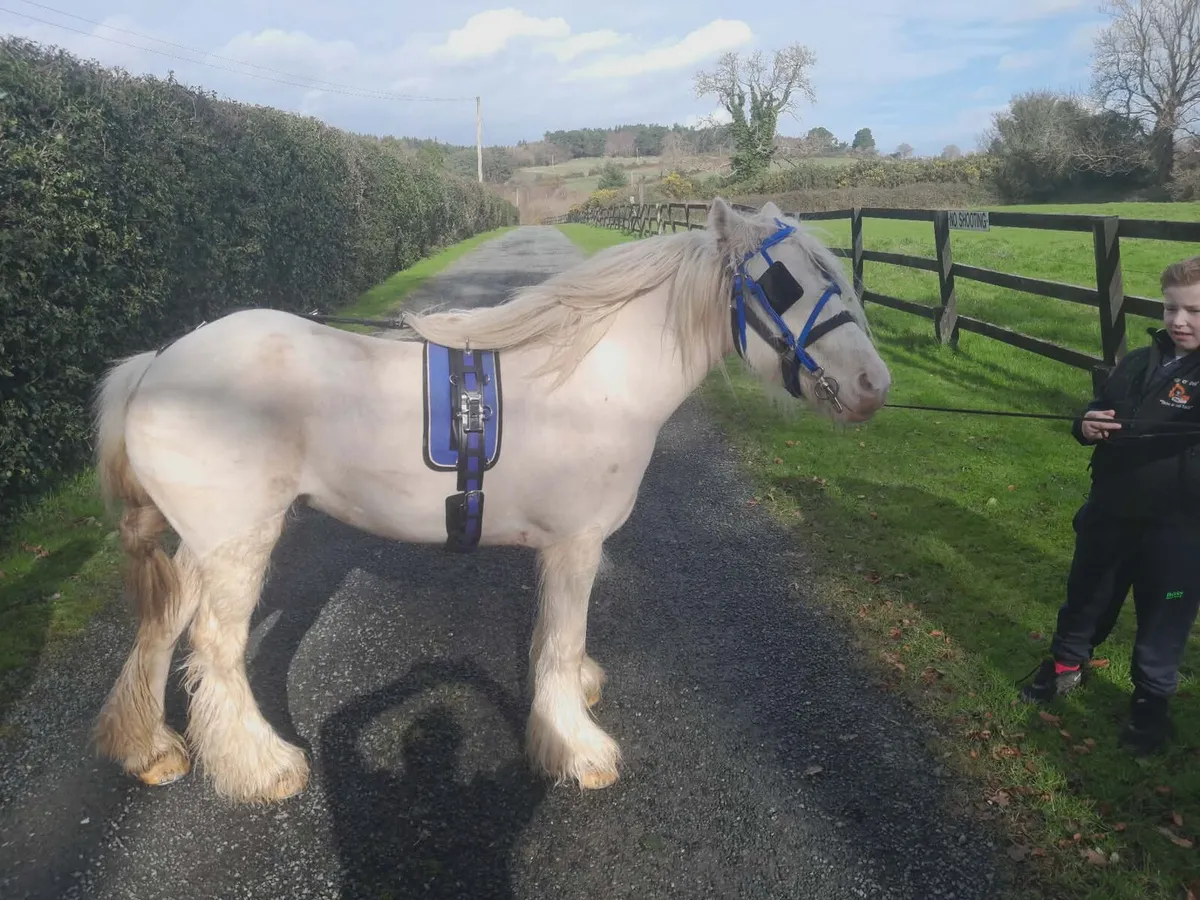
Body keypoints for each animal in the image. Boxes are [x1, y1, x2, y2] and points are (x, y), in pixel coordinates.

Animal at [90, 197, 891, 803]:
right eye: (784, 285)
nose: (873, 387)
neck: (598, 380)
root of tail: (155, 366)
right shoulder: (577, 543)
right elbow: (563, 640)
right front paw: (578, 750)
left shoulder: (561, 550)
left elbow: (553, 640)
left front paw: (572, 699)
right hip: (239, 543)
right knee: (215, 647)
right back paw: (262, 766)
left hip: (200, 544)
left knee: (164, 626)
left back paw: (150, 749)